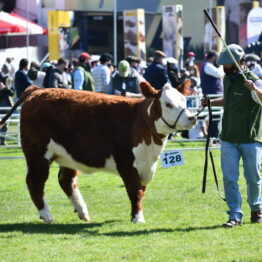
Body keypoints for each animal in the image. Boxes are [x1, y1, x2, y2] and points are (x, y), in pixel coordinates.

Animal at [0, 81, 195, 223]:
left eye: (184, 101)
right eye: (168, 104)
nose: (192, 117)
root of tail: (37, 90)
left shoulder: (146, 167)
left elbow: (141, 191)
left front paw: (136, 215)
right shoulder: (126, 163)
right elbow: (135, 192)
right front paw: (138, 219)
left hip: (68, 155)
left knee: (66, 180)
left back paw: (82, 211)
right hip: (37, 154)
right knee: (35, 182)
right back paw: (47, 215)